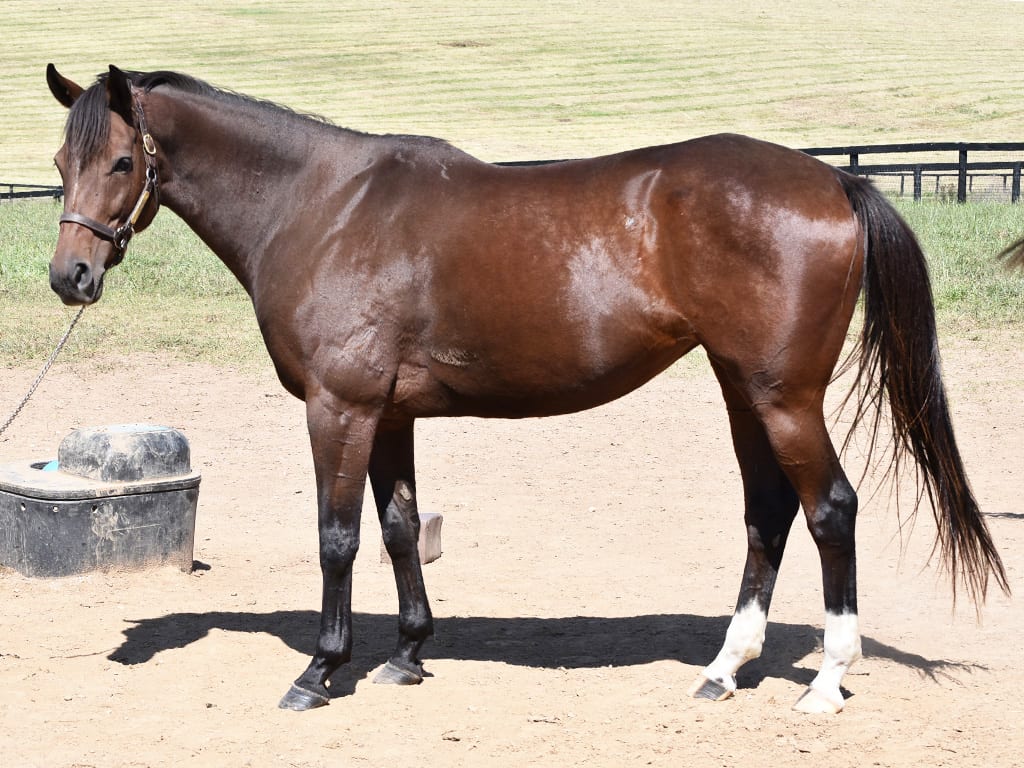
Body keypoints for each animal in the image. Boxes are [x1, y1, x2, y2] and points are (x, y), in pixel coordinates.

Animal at [41, 64, 1007, 716]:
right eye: (59, 160)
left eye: (122, 162)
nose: (68, 277)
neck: (324, 207)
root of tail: (835, 177)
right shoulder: (389, 414)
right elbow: (399, 529)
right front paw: (408, 655)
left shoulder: (340, 408)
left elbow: (336, 539)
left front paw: (320, 671)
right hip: (744, 390)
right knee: (767, 513)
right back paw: (724, 669)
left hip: (785, 397)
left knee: (830, 508)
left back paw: (828, 680)